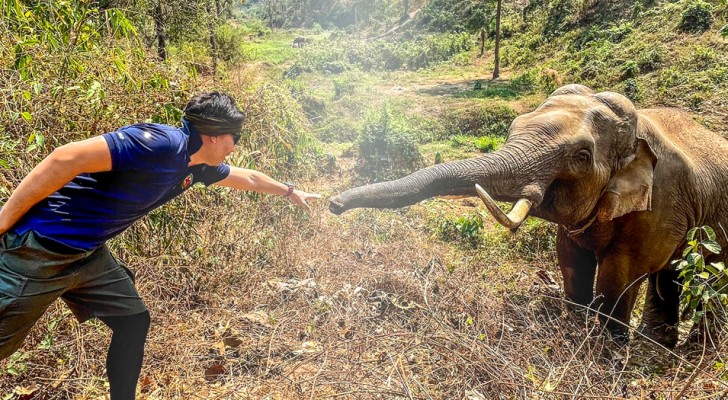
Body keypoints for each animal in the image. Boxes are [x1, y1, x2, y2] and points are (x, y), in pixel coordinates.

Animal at [330, 84, 728, 346]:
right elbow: (571, 261)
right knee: (671, 276)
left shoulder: (661, 203)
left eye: (582, 156)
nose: (333, 204)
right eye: (513, 127)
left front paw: (607, 351)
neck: (637, 131)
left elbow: (621, 275)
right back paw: (661, 346)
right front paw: (577, 331)